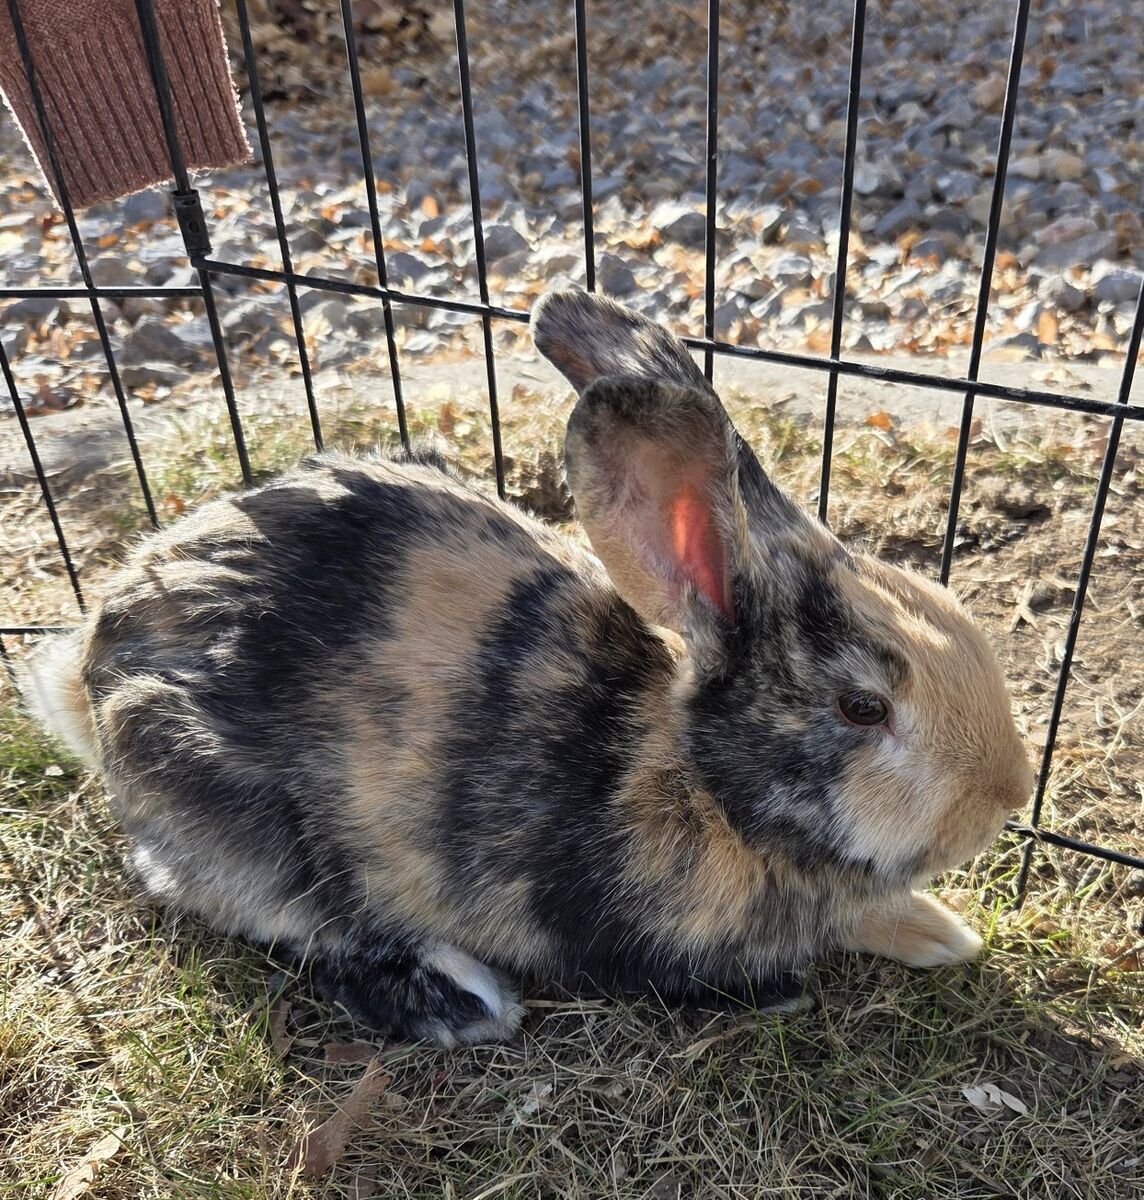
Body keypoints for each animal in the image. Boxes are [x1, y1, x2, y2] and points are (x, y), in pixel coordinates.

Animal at [23, 290, 1033, 1046]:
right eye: (863, 707)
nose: (1009, 794)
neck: (696, 778)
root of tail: (96, 662)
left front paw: (943, 936)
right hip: (249, 832)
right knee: (294, 929)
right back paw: (459, 1000)